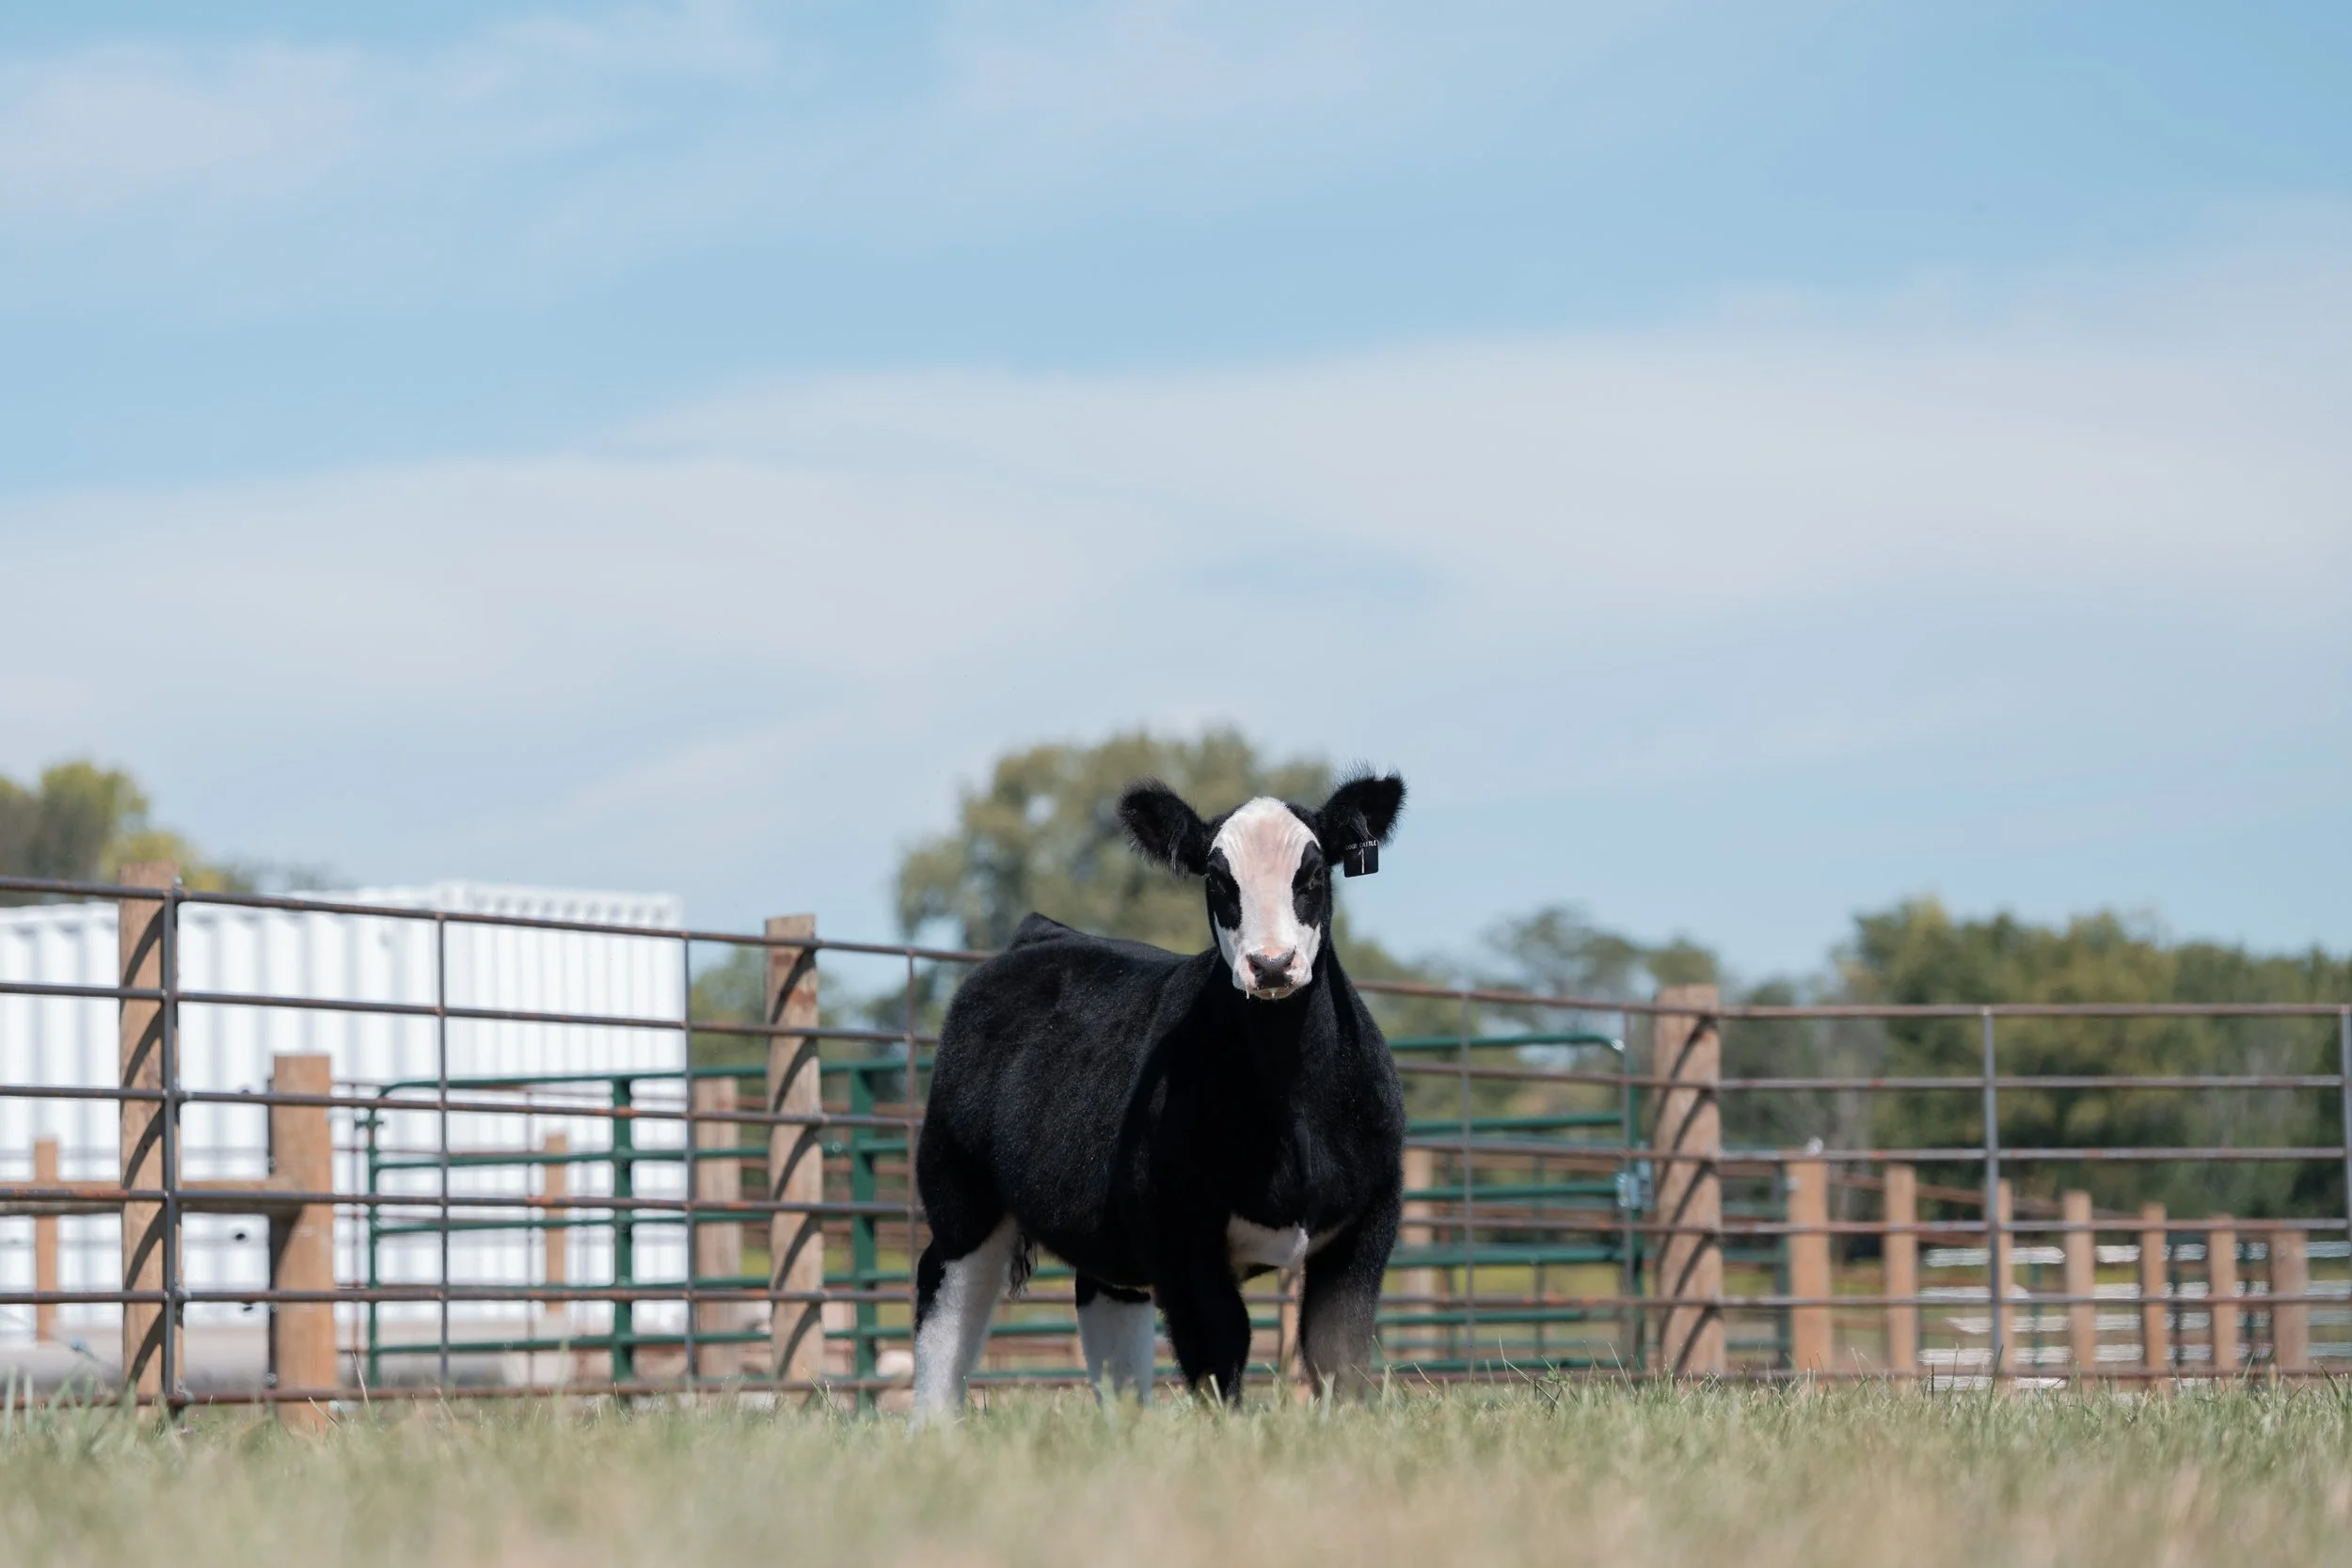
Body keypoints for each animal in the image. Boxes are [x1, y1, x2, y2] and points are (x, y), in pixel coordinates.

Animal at [910, 772, 1408, 1416]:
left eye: (1315, 873)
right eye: (1218, 880)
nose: (1272, 964)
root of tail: (1040, 935)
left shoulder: (1368, 1220)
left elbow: (1337, 1351)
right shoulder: (1181, 1234)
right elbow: (1221, 1344)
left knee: (1109, 1316)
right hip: (958, 1190)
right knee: (945, 1303)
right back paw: (933, 1424)